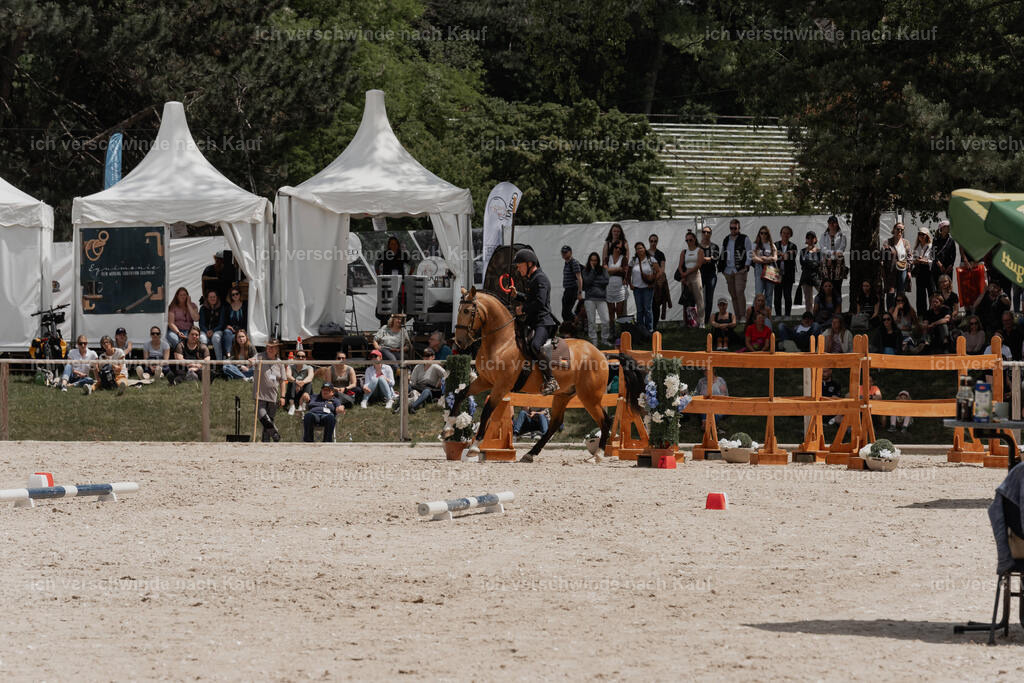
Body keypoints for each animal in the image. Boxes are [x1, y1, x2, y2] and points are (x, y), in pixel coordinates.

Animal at [448, 287, 644, 462]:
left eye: (467, 311)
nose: (459, 342)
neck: (502, 342)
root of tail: (602, 355)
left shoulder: (501, 385)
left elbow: (487, 411)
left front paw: (474, 447)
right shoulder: (485, 381)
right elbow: (460, 394)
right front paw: (448, 427)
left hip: (589, 397)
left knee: (605, 420)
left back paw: (597, 455)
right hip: (564, 394)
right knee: (555, 423)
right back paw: (531, 454)